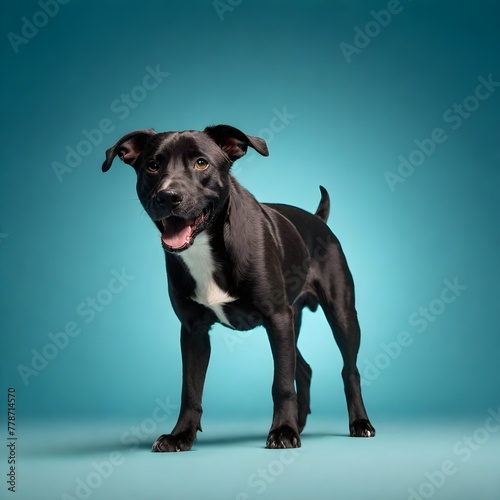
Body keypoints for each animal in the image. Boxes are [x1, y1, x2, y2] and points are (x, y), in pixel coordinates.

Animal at [102, 124, 376, 450]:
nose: (168, 196)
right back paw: (300, 422)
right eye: (152, 165)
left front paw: (282, 431)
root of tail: (316, 219)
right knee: (304, 368)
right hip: (292, 321)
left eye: (201, 163)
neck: (207, 245)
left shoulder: (276, 318)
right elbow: (190, 389)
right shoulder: (193, 330)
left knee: (349, 371)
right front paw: (181, 435)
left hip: (341, 314)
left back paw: (359, 423)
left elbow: (281, 382)